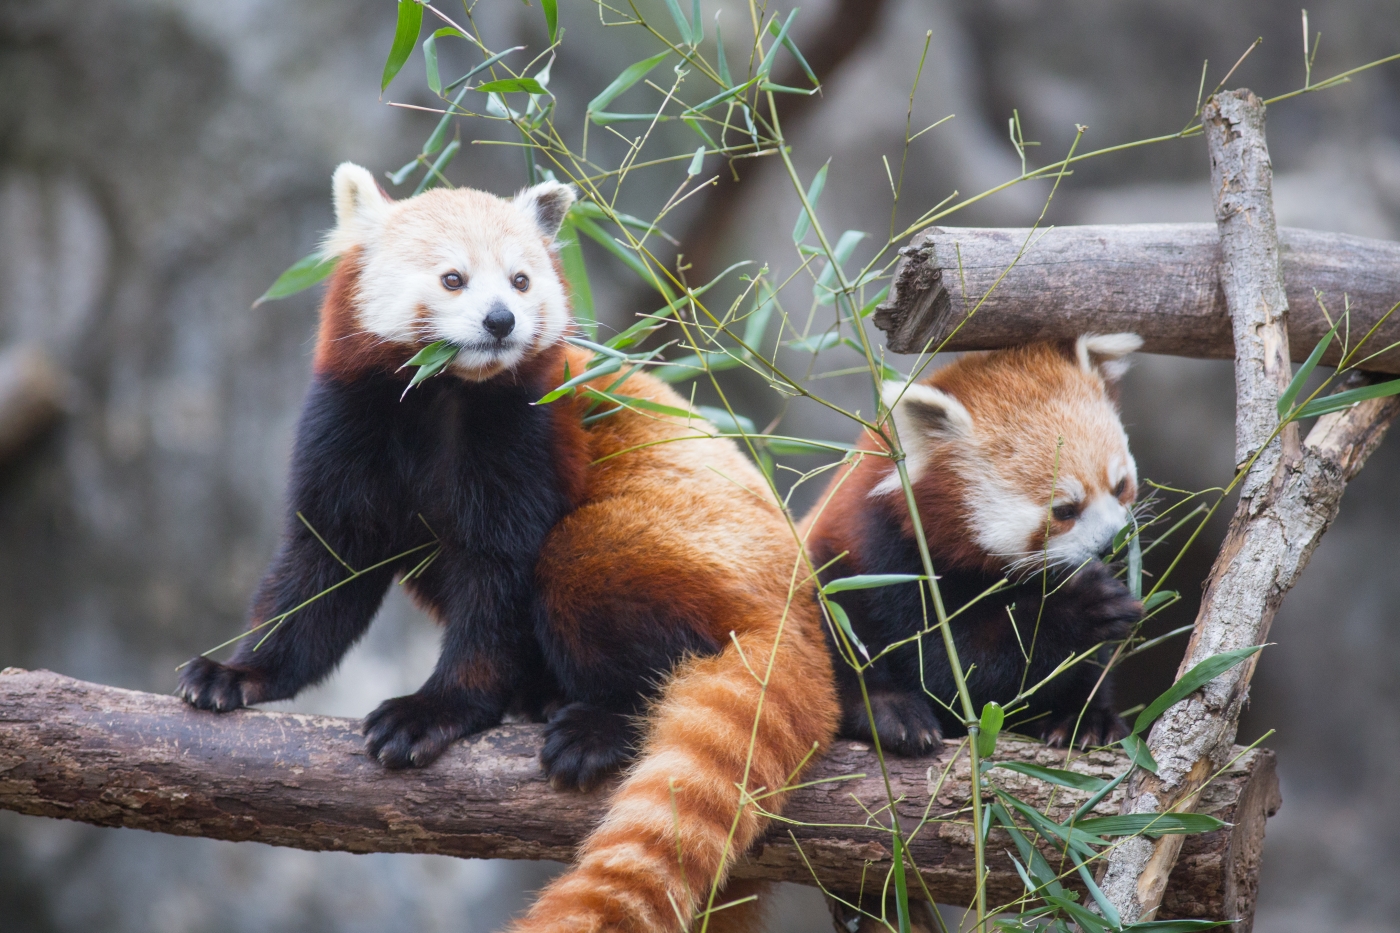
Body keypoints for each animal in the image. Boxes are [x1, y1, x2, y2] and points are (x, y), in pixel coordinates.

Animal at [173, 163, 828, 930]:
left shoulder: (528, 437)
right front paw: (240, 672)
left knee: (583, 567)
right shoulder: (347, 422)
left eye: (520, 280)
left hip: (677, 550)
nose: (500, 321)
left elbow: (498, 585)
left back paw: (601, 720)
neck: (442, 395)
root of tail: (800, 614)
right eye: (453, 279)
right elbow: (323, 571)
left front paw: (434, 711)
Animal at [806, 337, 1142, 750]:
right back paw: (889, 712)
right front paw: (1083, 608)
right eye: (1065, 510)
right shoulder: (891, 557)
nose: (1112, 544)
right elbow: (953, 673)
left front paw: (1085, 715)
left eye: (1120, 486)